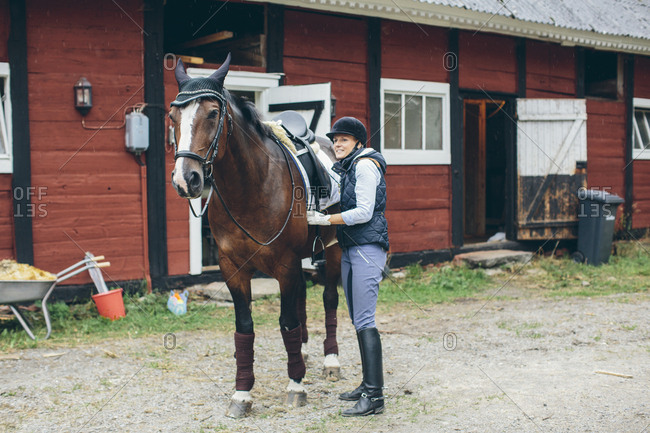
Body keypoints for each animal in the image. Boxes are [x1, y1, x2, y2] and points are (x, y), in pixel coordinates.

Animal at [169, 54, 342, 418]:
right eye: (172, 116)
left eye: (213, 113)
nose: (185, 179)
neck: (252, 186)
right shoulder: (232, 268)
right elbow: (245, 328)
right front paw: (242, 393)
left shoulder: (286, 264)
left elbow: (287, 321)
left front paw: (296, 386)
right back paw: (303, 353)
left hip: (333, 251)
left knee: (329, 299)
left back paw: (331, 361)